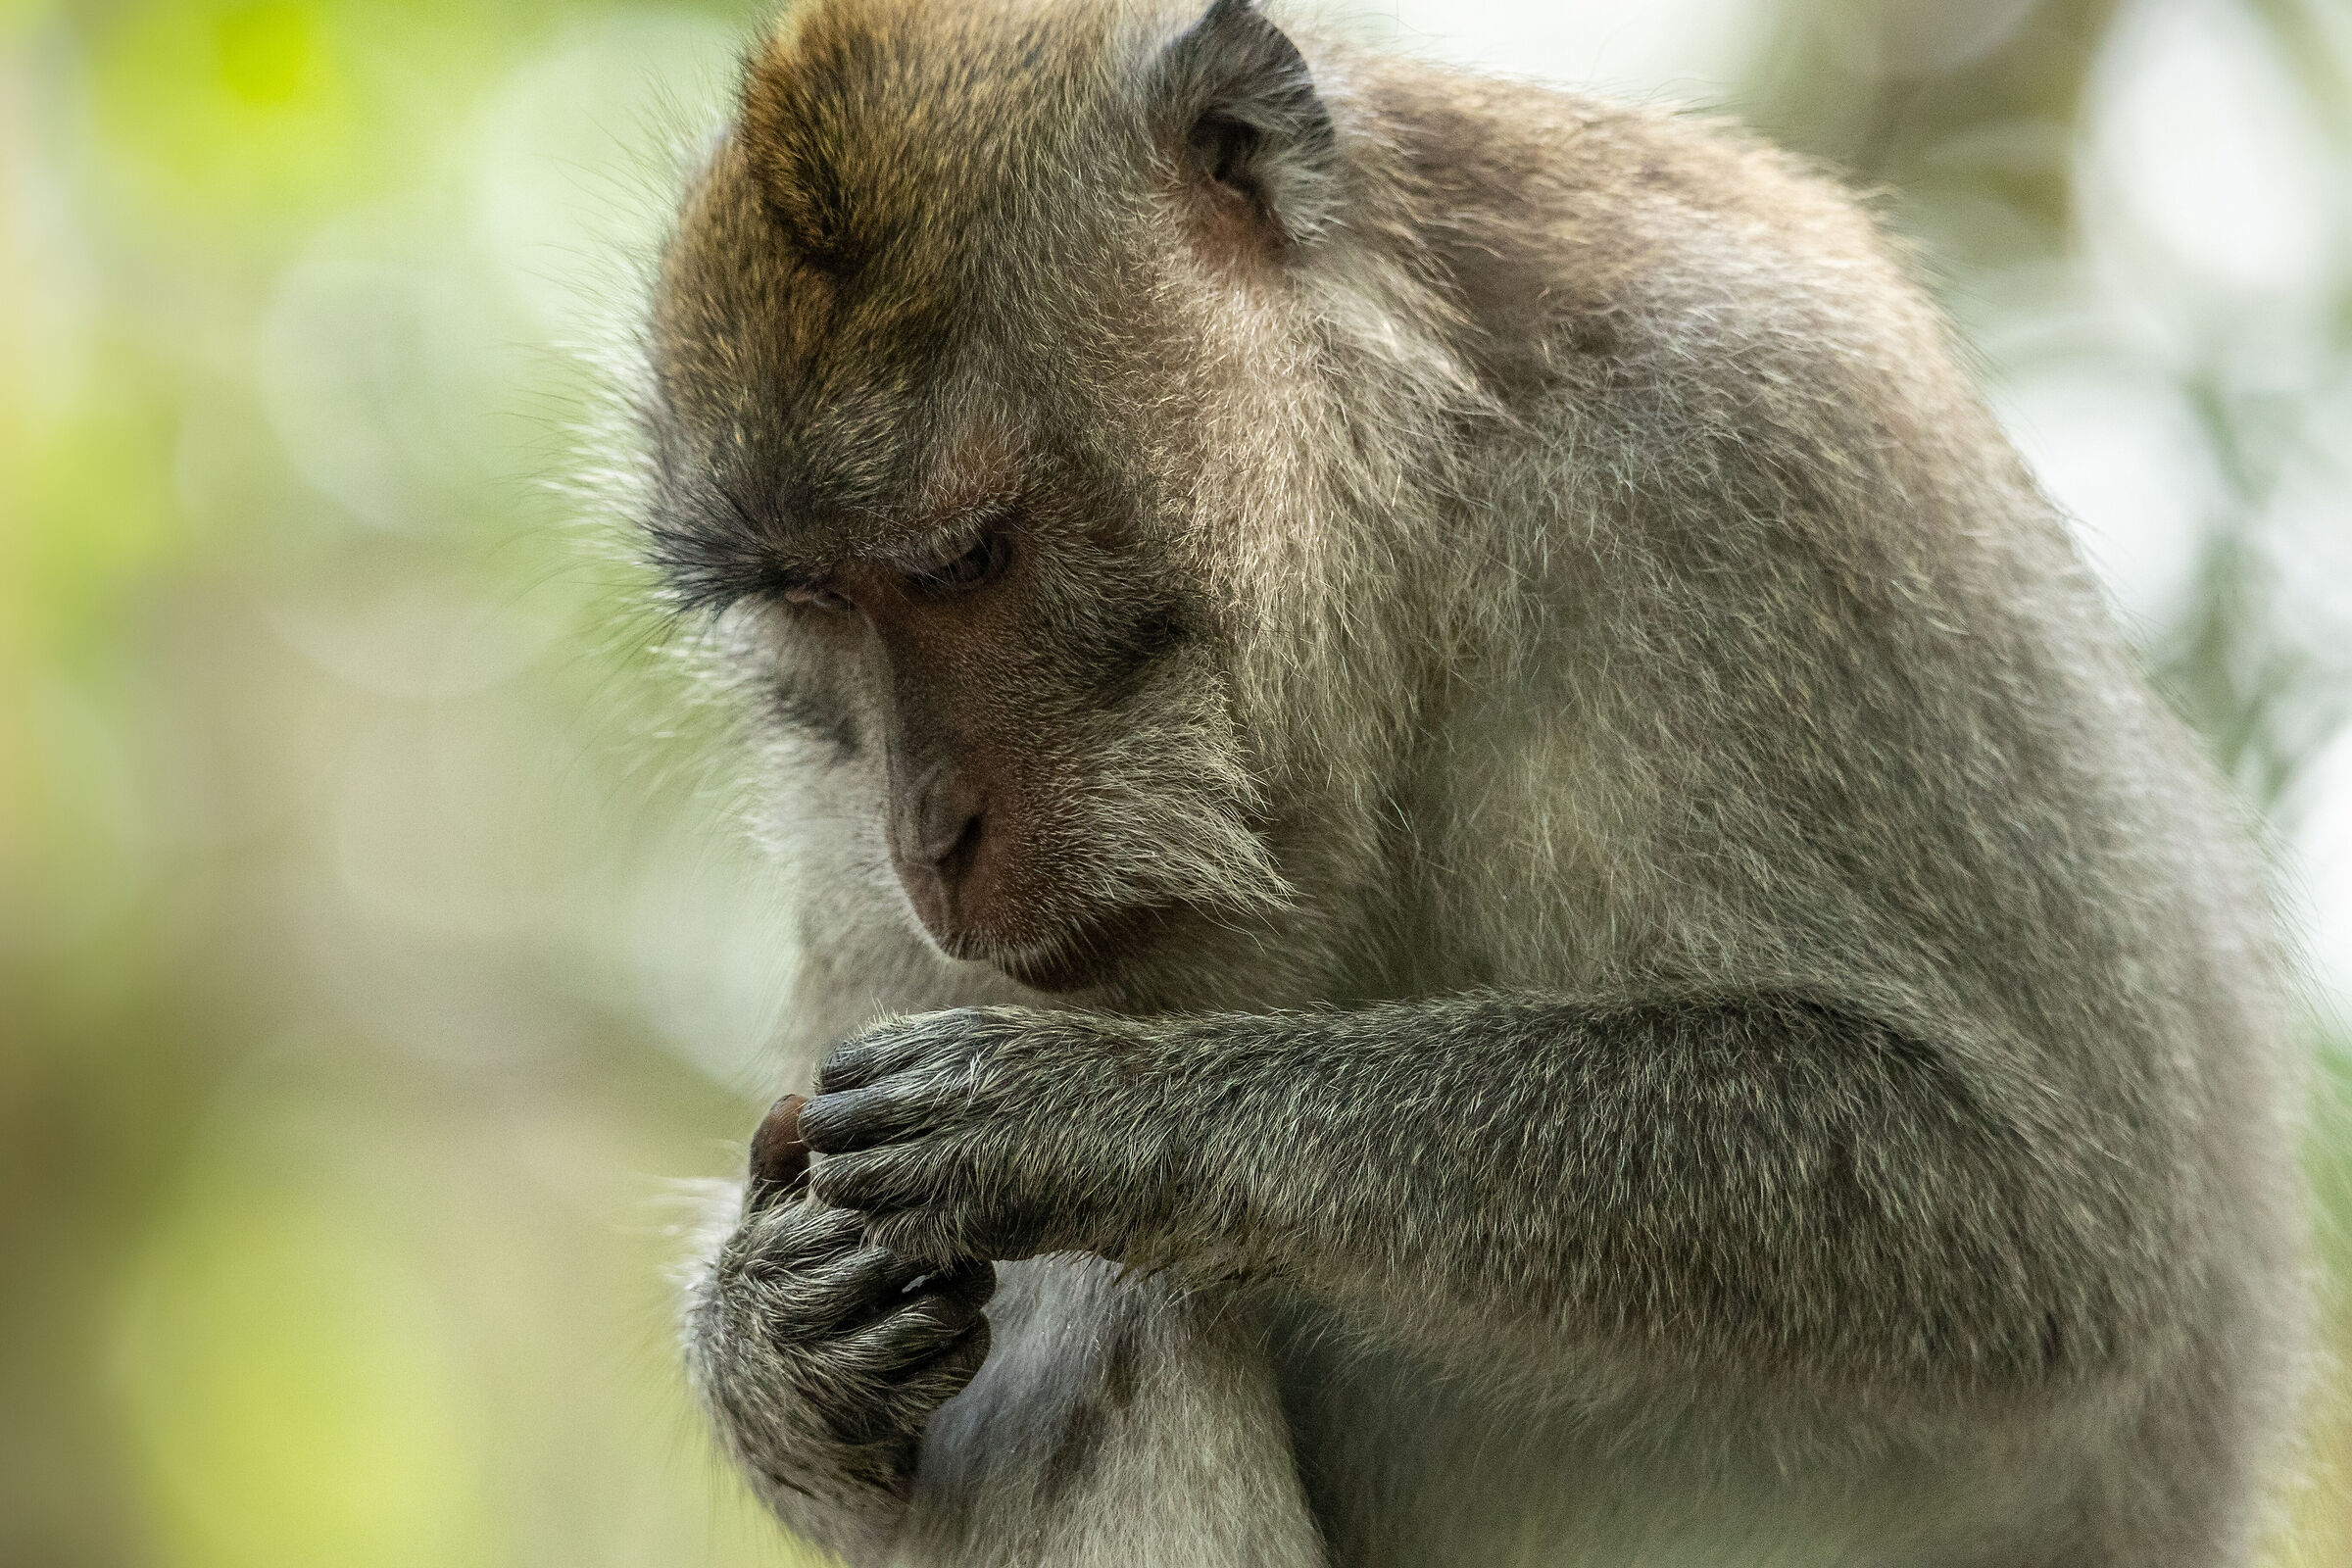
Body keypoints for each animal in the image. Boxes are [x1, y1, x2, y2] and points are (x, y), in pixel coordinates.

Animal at [627, 0, 2312, 1563]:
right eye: (818, 598)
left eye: (965, 563)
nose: (927, 833)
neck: (1419, 526)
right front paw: (775, 1331)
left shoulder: (1767, 471)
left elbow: (2038, 1222)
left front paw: (1100, 1116)